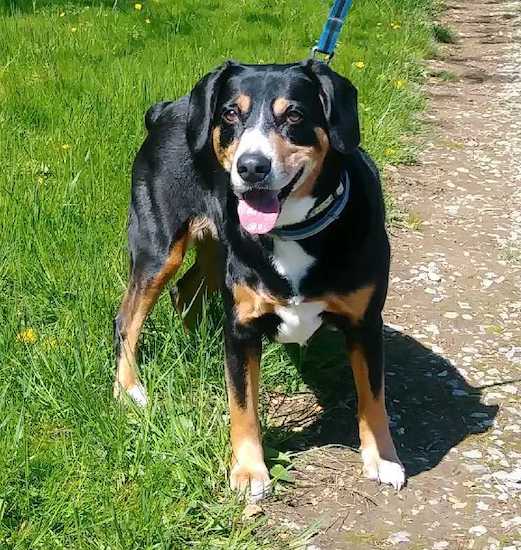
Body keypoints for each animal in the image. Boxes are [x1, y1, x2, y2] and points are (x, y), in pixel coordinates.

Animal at [114, 60, 406, 504]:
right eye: (231, 114)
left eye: (295, 116)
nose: (251, 167)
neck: (291, 231)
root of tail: (166, 109)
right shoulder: (242, 329)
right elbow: (243, 407)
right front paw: (249, 471)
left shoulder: (366, 323)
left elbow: (374, 397)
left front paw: (382, 458)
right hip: (159, 246)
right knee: (127, 317)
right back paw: (128, 388)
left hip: (215, 250)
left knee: (185, 291)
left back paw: (195, 341)